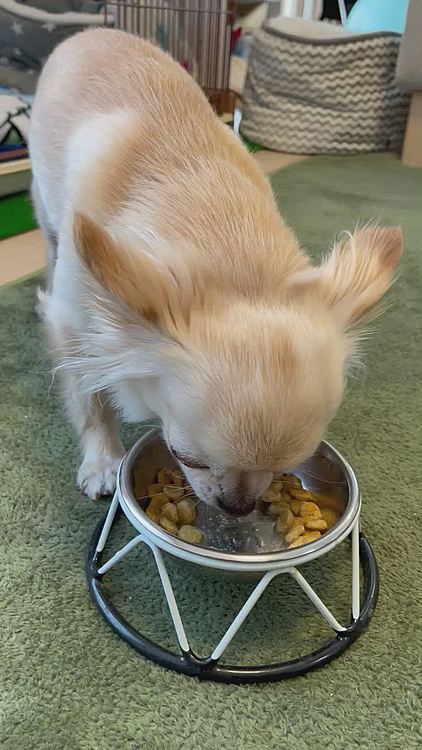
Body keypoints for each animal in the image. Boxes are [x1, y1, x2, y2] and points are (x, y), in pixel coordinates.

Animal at [30, 26, 402, 516]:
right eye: (187, 459)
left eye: (289, 465)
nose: (237, 507)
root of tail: (93, 30)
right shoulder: (73, 320)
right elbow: (89, 395)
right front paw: (103, 461)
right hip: (44, 202)